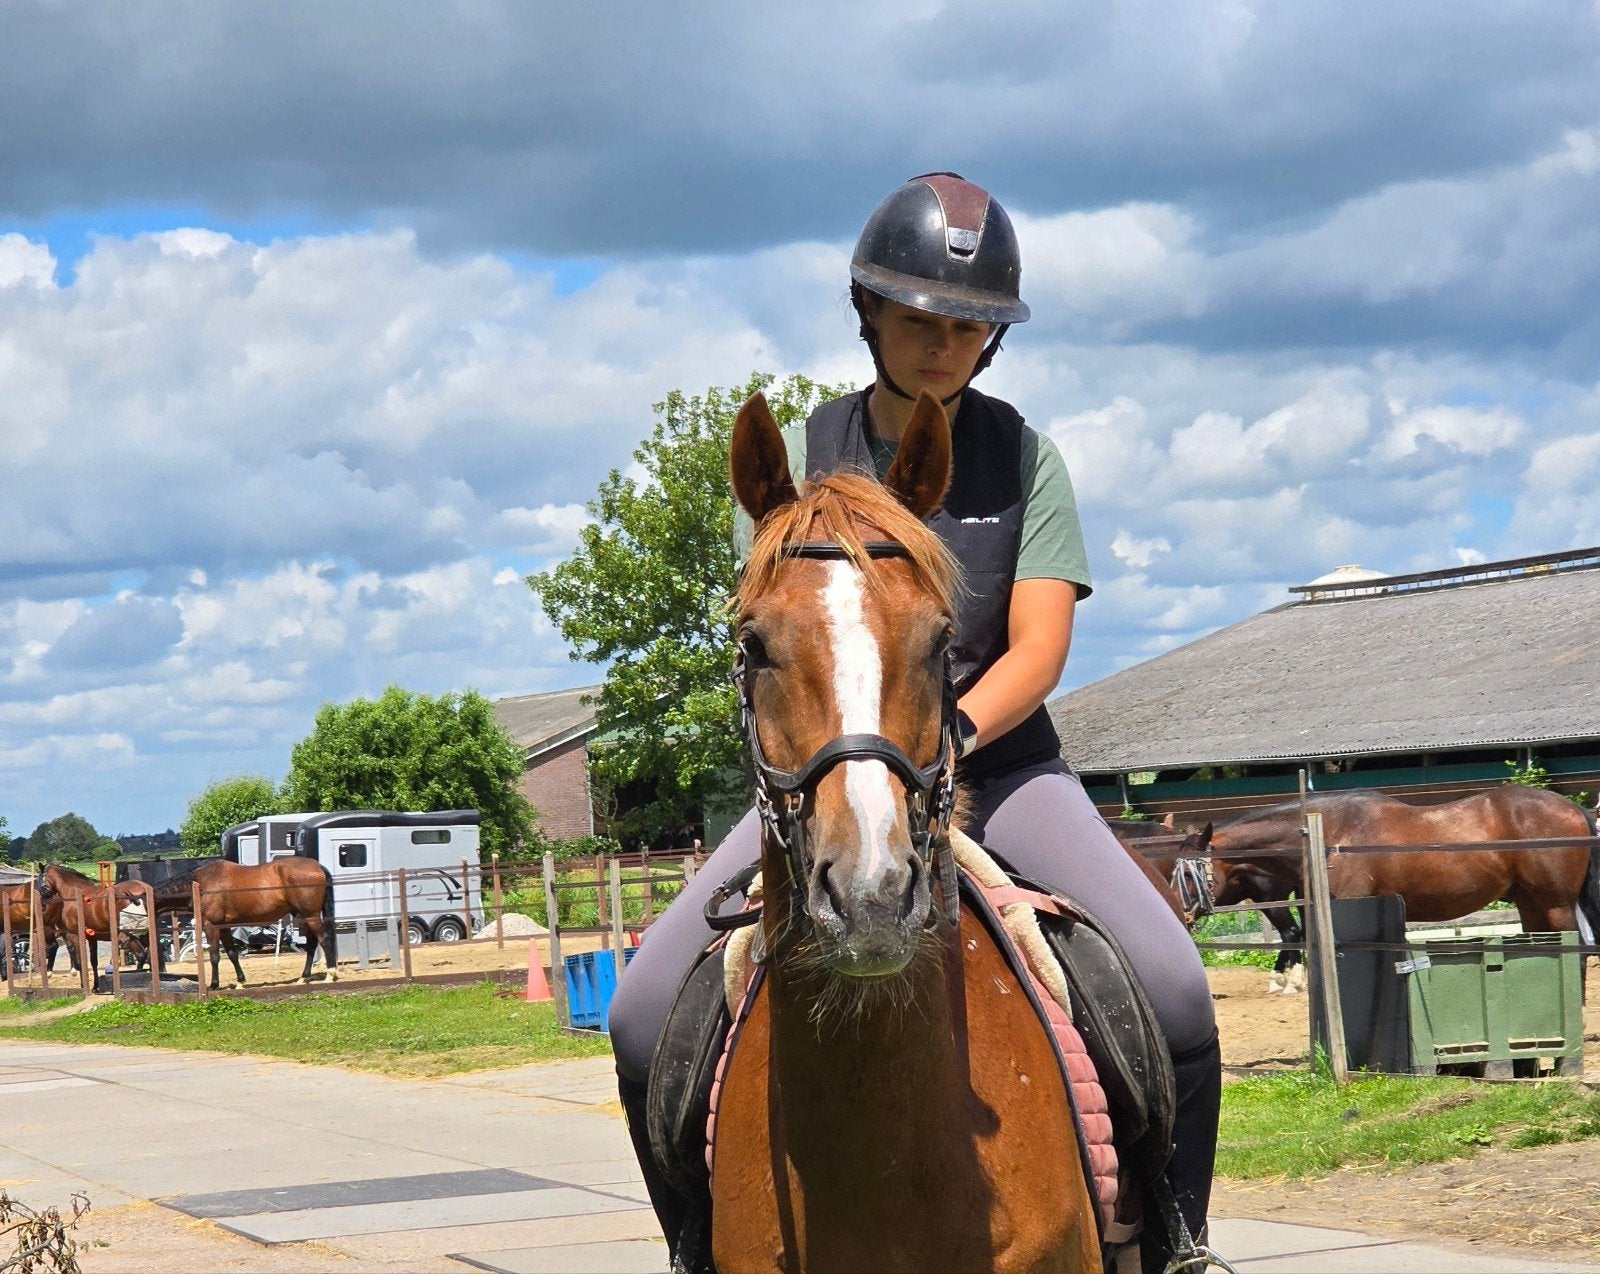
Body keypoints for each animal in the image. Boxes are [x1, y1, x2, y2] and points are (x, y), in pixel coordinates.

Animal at [154, 857, 336, 990]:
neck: (200, 884)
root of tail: (318, 866)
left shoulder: (211, 926)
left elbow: (214, 955)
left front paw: (214, 984)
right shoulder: (224, 928)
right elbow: (232, 954)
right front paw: (240, 982)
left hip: (311, 915)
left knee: (324, 941)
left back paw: (330, 974)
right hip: (303, 916)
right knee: (311, 944)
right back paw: (303, 977)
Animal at [1183, 788, 1600, 981]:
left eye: (1186, 874)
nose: (1181, 916)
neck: (1328, 835)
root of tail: (1574, 809)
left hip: (1556, 904)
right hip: (1530, 904)